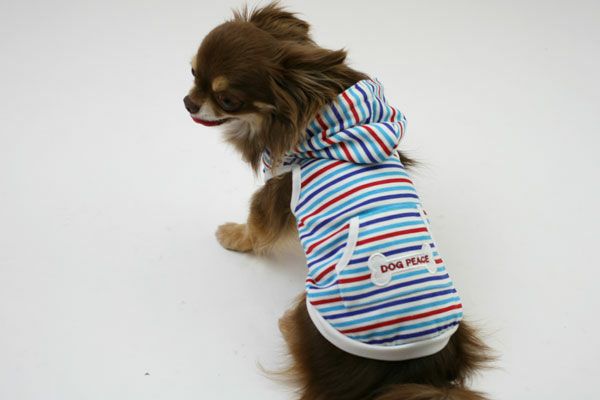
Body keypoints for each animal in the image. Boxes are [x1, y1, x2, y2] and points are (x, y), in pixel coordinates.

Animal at [184, 3, 491, 399]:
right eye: (193, 73)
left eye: (227, 100)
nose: (188, 102)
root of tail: (413, 374)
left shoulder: (277, 188)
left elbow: (255, 225)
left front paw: (233, 236)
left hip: (310, 315)